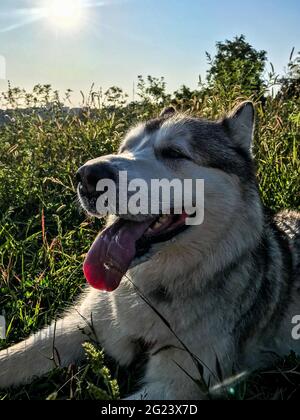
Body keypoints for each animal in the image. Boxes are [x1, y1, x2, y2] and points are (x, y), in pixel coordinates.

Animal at [0, 102, 300, 400]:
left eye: (173, 152)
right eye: (124, 148)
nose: (87, 176)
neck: (150, 288)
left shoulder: (182, 382)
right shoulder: (82, 323)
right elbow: (15, 356)